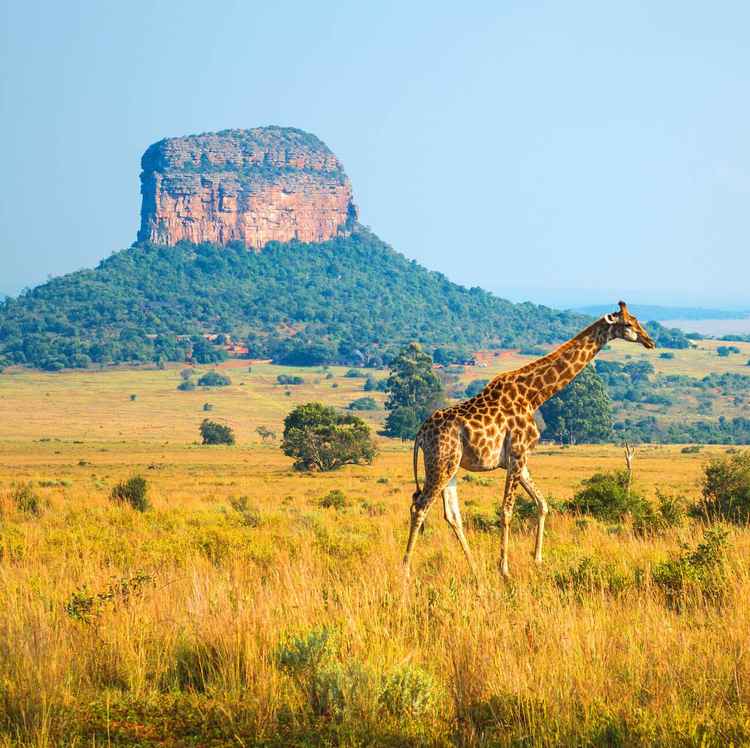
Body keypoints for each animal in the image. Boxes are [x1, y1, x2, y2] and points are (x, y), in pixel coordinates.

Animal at [402, 302, 656, 580]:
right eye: (629, 324)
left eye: (637, 320)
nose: (650, 341)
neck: (534, 395)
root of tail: (420, 434)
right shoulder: (517, 455)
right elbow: (506, 510)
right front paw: (504, 569)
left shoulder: (520, 460)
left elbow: (542, 503)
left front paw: (537, 559)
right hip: (440, 463)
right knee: (420, 507)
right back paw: (405, 570)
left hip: (451, 467)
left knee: (451, 514)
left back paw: (475, 569)